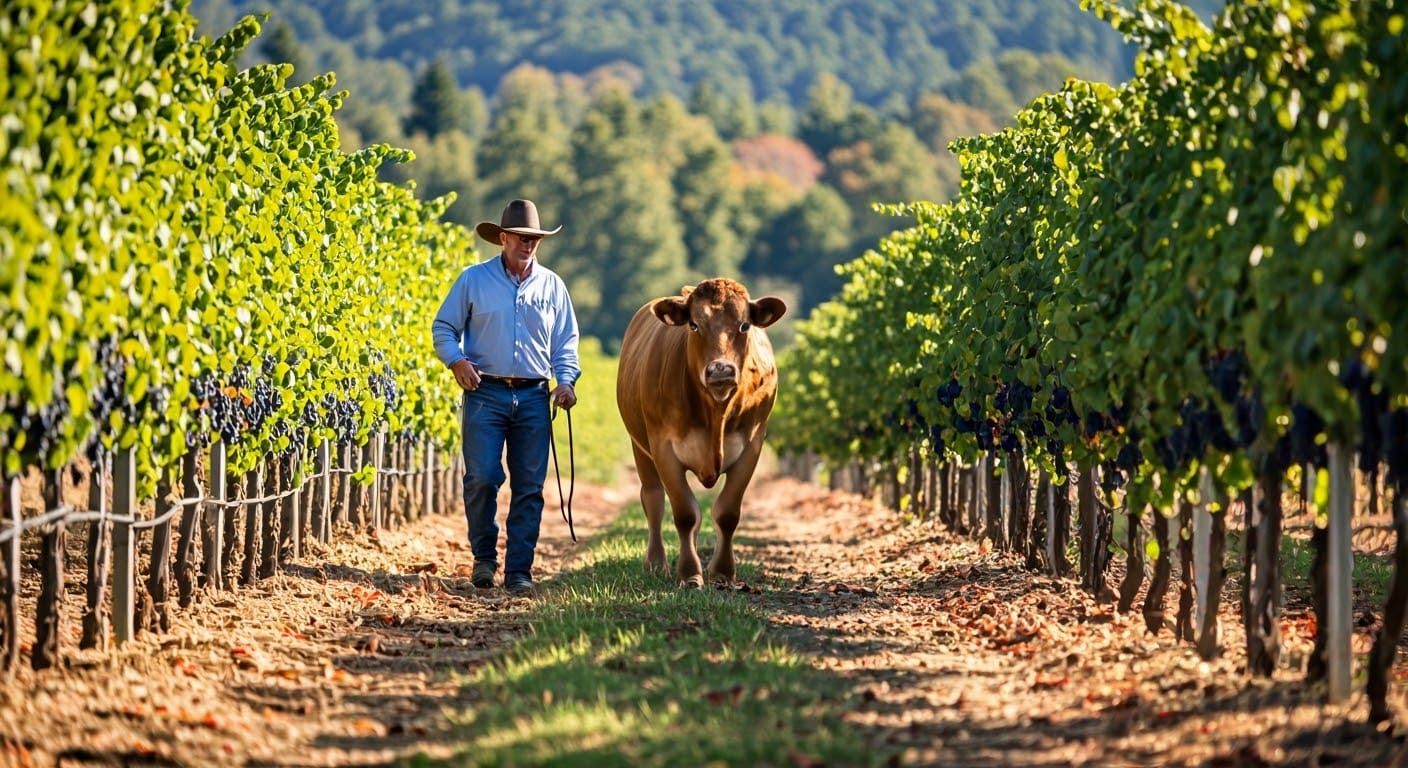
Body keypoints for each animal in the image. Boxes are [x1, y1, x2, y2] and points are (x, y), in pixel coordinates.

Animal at [615, 278, 787, 588]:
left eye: (744, 325)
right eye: (694, 325)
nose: (720, 370)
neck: (715, 413)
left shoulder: (752, 446)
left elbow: (727, 513)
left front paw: (722, 573)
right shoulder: (663, 448)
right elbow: (684, 513)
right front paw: (689, 574)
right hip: (640, 447)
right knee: (653, 500)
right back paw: (656, 563)